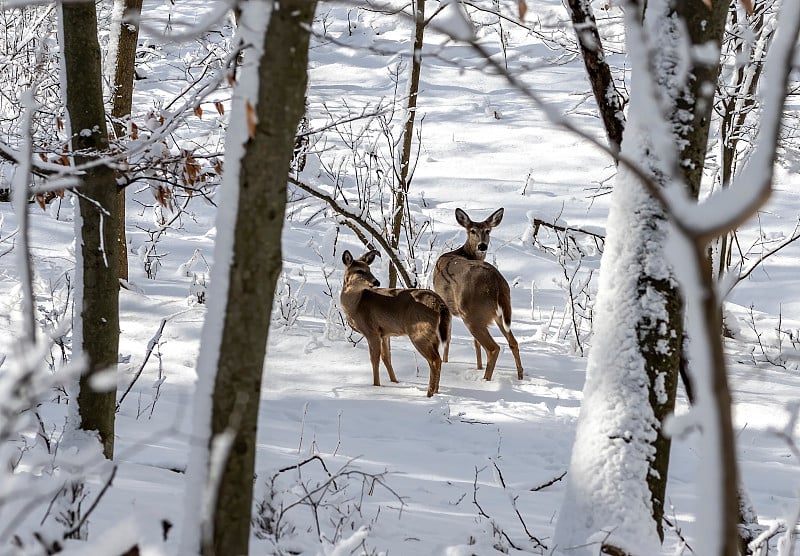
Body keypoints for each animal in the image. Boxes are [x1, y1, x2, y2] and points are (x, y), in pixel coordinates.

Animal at [338, 250, 450, 398]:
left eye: (369, 269)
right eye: (360, 271)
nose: (376, 281)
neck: (356, 305)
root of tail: (440, 303)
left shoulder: (371, 330)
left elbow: (374, 359)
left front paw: (376, 386)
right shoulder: (384, 333)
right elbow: (386, 357)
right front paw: (395, 382)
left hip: (419, 332)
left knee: (434, 360)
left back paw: (429, 394)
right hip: (434, 335)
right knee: (438, 359)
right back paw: (436, 392)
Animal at [432, 206, 524, 380]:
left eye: (488, 231)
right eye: (473, 231)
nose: (482, 246)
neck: (461, 253)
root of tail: (497, 282)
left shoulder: (446, 305)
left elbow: (448, 336)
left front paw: (446, 361)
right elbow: (474, 343)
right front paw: (478, 367)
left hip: (472, 313)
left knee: (493, 348)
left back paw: (486, 379)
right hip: (500, 313)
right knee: (513, 342)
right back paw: (520, 376)